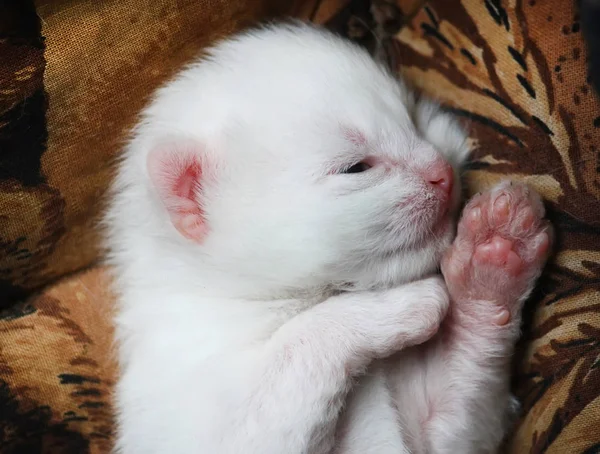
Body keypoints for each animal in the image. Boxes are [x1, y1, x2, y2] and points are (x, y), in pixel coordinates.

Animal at [104, 21, 552, 454]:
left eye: (414, 119)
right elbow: (300, 341)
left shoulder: (444, 436)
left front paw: (492, 261)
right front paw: (397, 307)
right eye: (356, 168)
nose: (443, 173)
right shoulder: (200, 418)